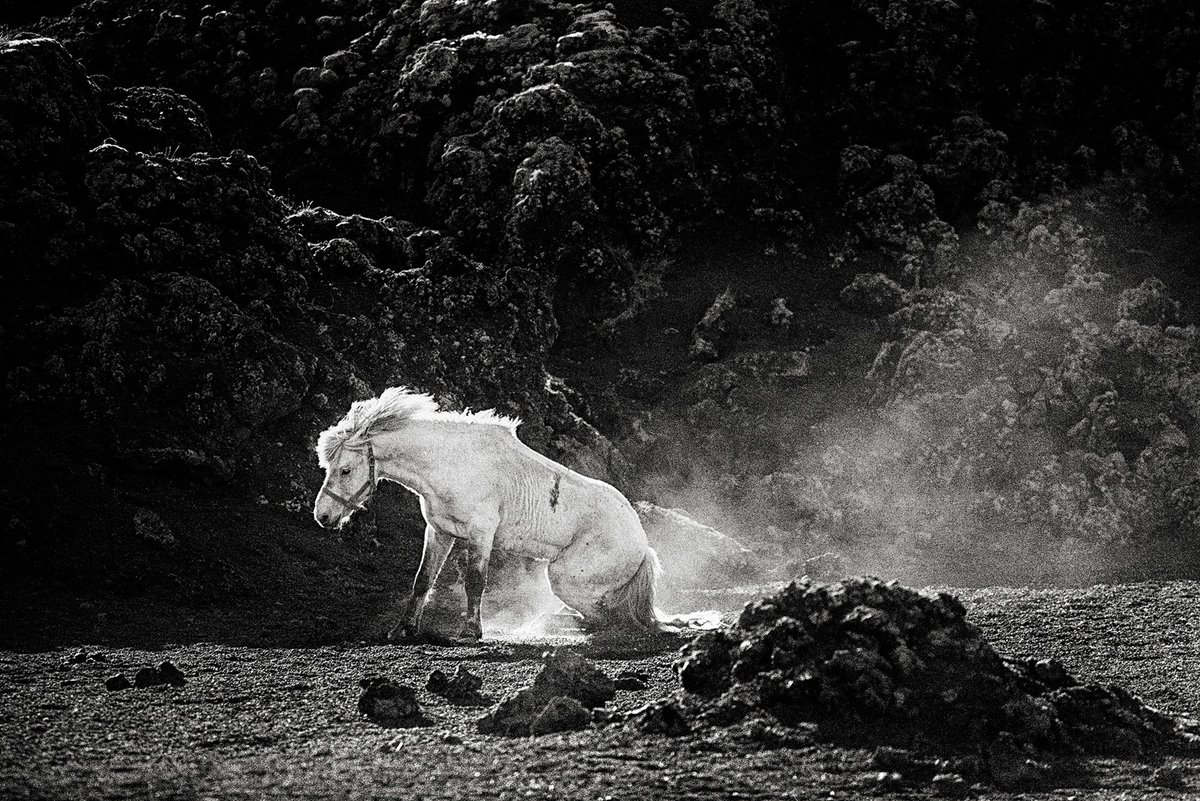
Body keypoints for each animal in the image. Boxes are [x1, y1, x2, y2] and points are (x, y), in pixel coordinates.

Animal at [312, 386, 706, 641]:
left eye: (345, 470)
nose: (323, 517)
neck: (450, 462)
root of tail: (643, 545)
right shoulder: (439, 532)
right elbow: (423, 579)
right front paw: (403, 629)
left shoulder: (480, 534)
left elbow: (475, 582)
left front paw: (471, 632)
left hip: (565, 578)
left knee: (609, 619)